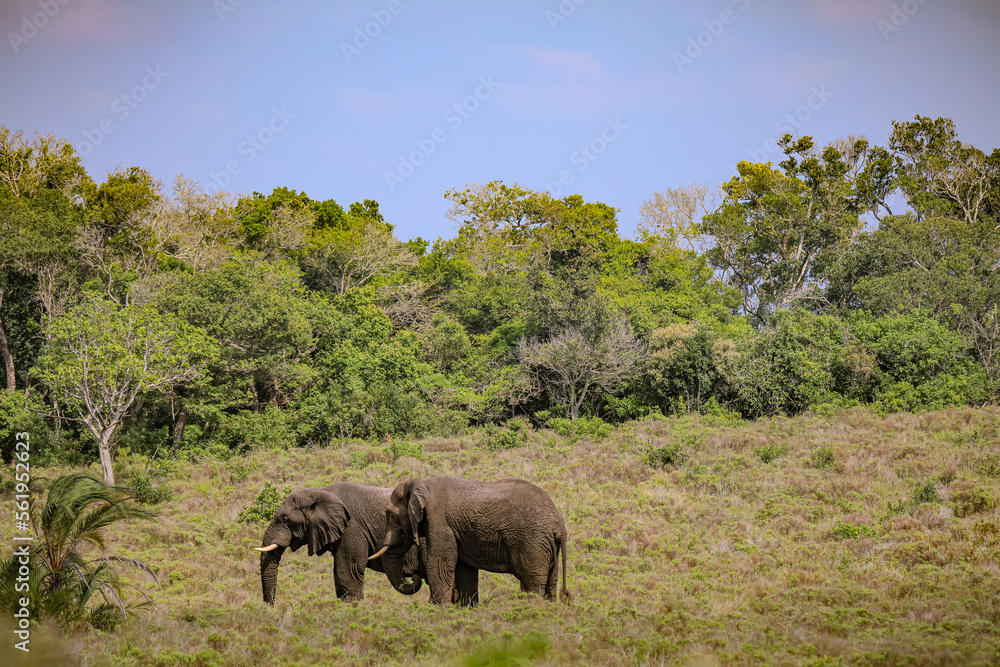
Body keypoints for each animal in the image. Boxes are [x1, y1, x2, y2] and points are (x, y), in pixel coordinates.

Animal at [370, 475, 569, 606]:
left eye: (391, 515)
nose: (414, 577)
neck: (422, 483)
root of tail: (559, 525)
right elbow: (464, 569)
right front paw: (467, 610)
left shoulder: (439, 520)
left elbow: (440, 564)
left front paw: (437, 610)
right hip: (546, 544)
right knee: (551, 582)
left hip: (531, 542)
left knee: (531, 582)